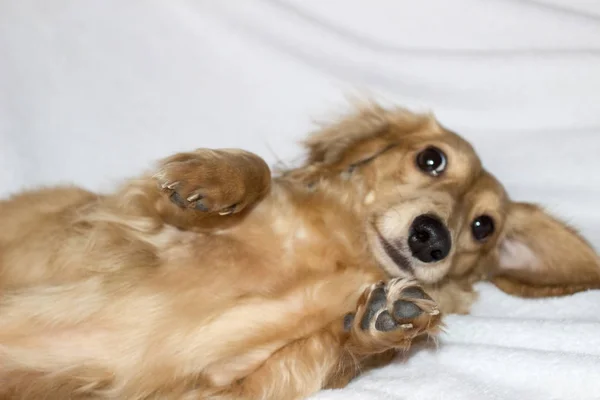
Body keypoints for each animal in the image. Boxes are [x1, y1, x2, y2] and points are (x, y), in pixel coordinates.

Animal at [1, 103, 600, 396]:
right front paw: (212, 181)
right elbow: (255, 170)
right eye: (431, 159)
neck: (334, 254)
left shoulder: (232, 385)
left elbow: (323, 349)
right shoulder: (129, 223)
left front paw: (383, 324)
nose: (432, 237)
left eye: (483, 226)